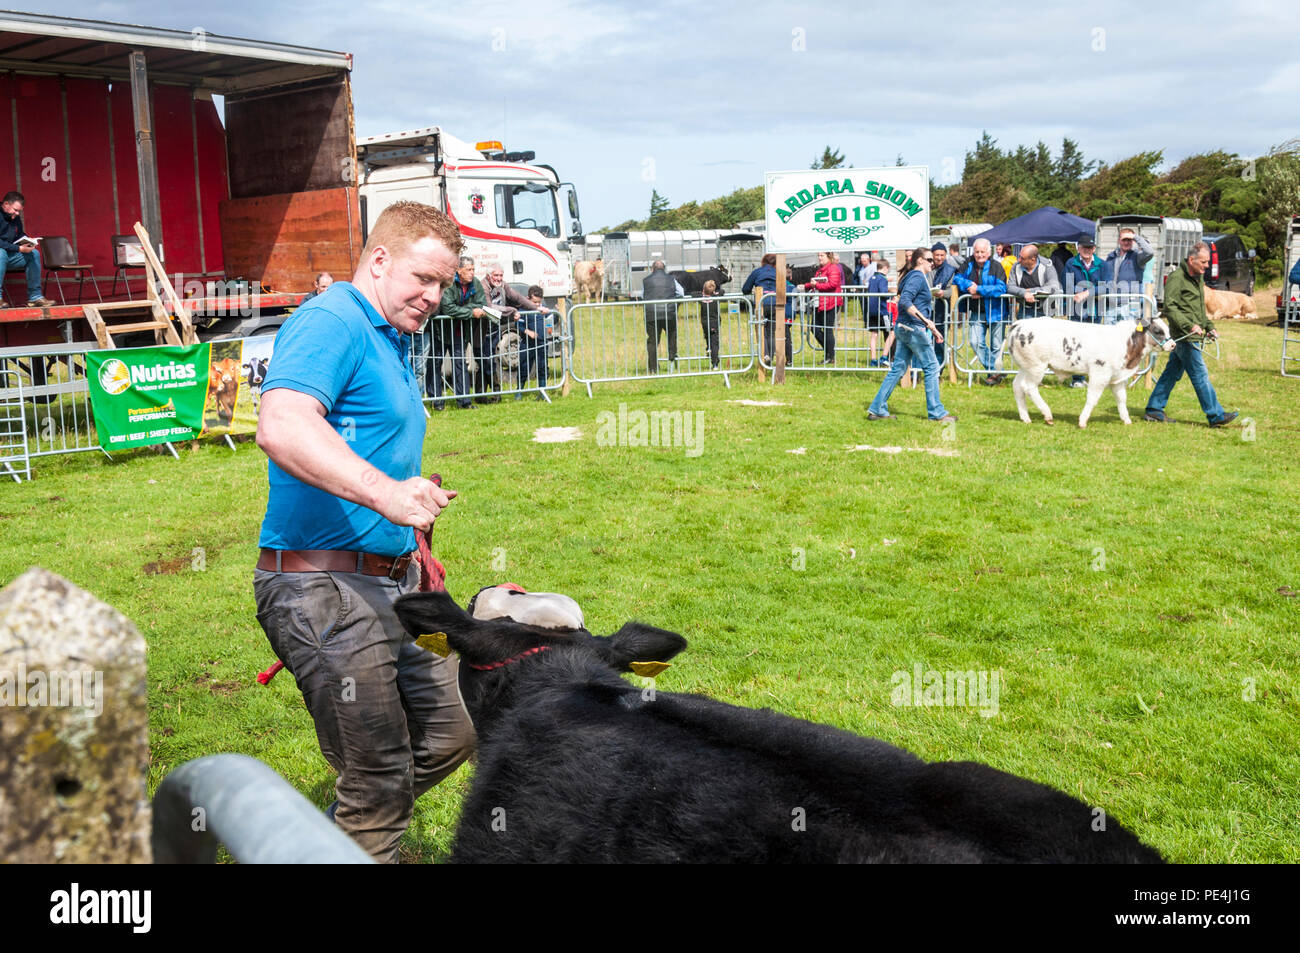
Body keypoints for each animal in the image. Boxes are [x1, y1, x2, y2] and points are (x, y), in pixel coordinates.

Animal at [1003, 315, 1180, 426]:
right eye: (1158, 331)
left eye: (1167, 329)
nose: (1173, 345)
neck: (1126, 343)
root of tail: (1019, 324)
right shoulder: (1099, 373)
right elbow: (1093, 398)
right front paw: (1082, 421)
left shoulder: (1118, 378)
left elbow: (1121, 399)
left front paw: (1127, 420)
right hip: (1037, 367)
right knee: (1029, 387)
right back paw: (1047, 415)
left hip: (1025, 367)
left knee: (1017, 386)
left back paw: (1025, 417)